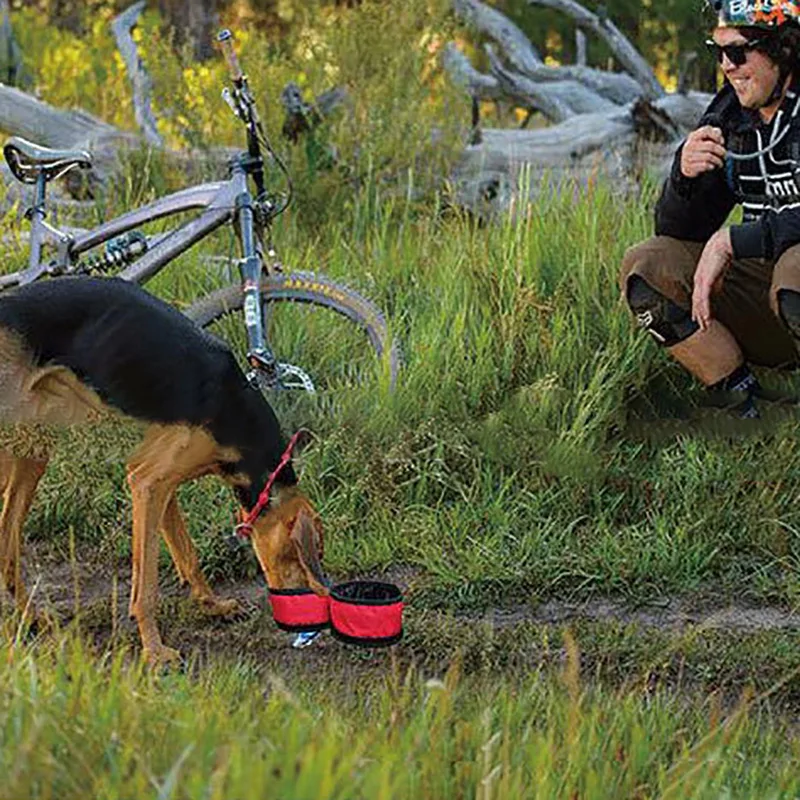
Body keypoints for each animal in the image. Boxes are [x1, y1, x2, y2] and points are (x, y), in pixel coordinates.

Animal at [0, 278, 328, 664]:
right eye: (305, 555)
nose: (309, 627)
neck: (234, 407)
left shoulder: (159, 482)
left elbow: (187, 555)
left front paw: (212, 605)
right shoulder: (148, 482)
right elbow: (147, 587)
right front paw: (155, 651)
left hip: (32, 450)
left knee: (7, 544)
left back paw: (31, 617)